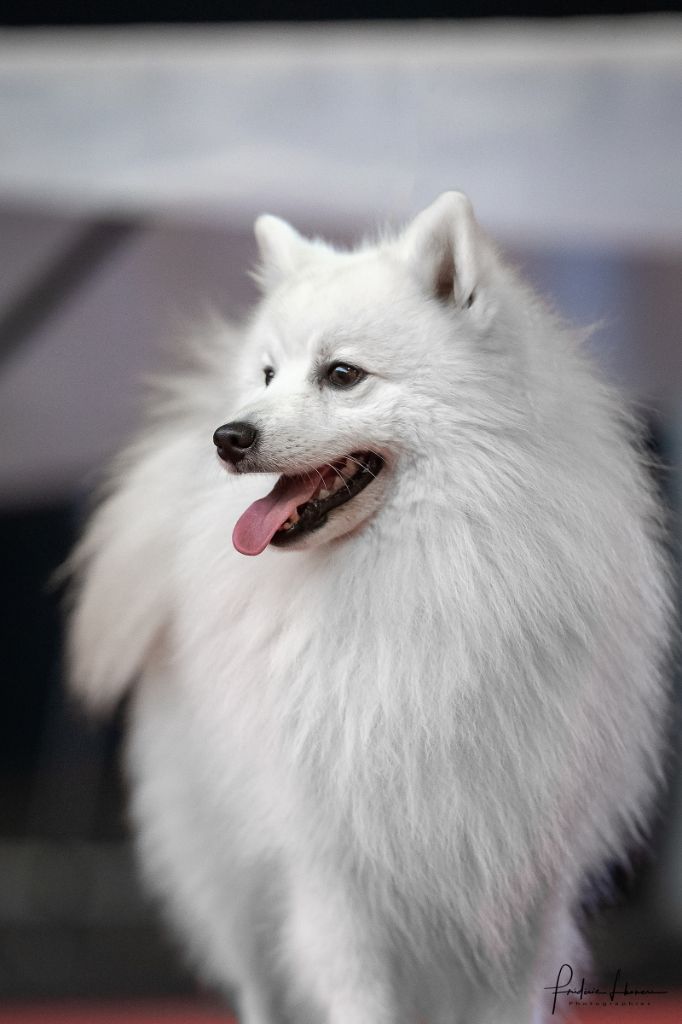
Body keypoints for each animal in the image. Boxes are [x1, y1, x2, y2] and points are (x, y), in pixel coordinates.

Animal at [67, 193, 671, 1023]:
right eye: (267, 374)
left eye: (342, 374)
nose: (229, 435)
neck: (410, 581)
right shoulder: (335, 881)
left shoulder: (516, 884)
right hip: (234, 882)